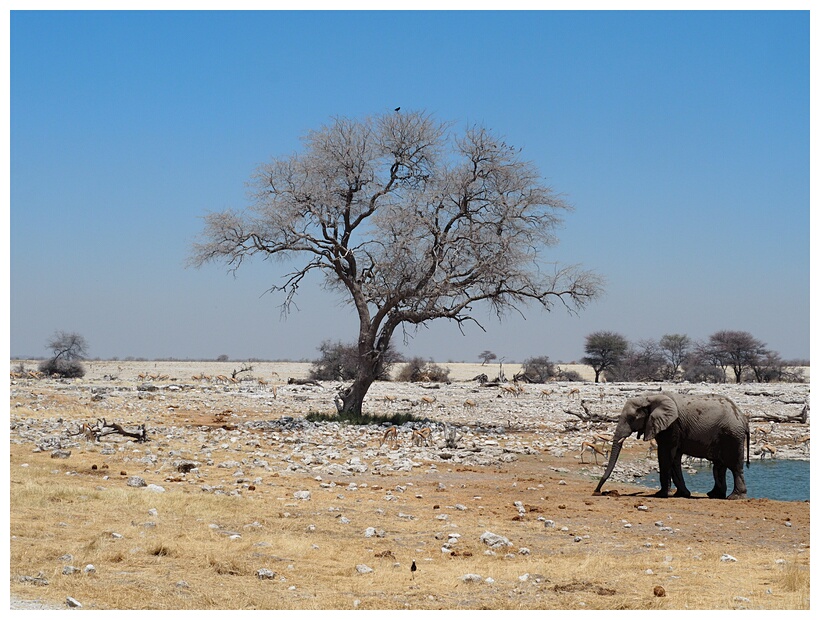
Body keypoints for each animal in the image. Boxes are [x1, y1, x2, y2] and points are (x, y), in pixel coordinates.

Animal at [596, 392, 748, 498]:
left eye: (632, 418)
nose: (597, 492)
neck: (649, 397)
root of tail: (742, 417)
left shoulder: (672, 426)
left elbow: (665, 454)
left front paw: (661, 495)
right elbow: (674, 458)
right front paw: (681, 494)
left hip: (732, 435)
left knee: (734, 466)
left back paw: (734, 497)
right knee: (719, 466)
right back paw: (714, 495)